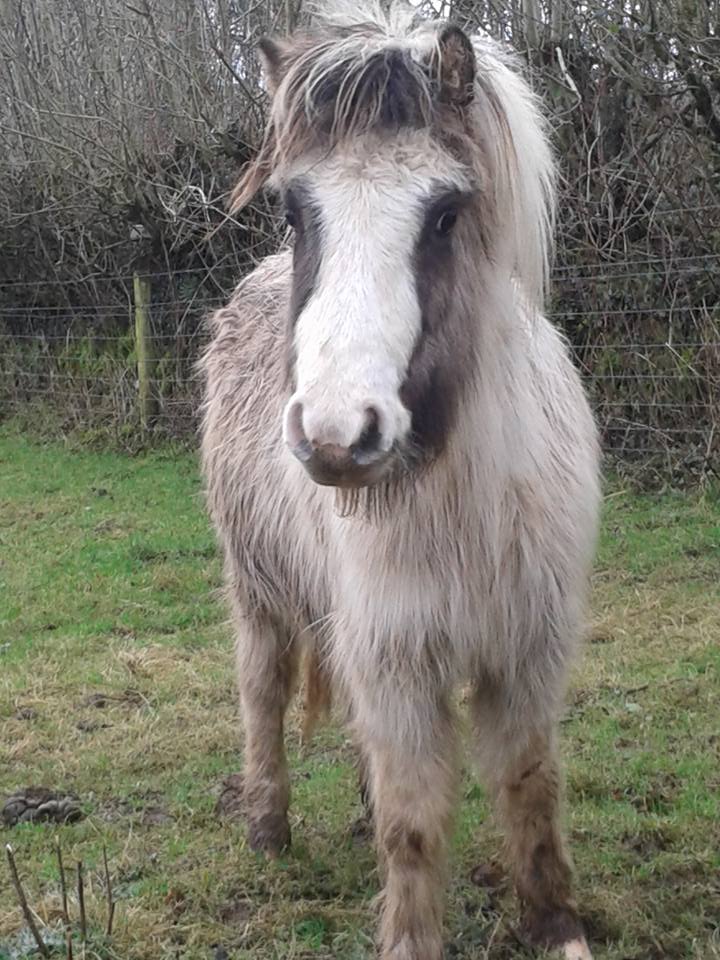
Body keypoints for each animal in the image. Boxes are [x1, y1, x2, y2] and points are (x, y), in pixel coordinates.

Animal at [200, 4, 600, 958]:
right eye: (295, 211)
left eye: (445, 213)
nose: (338, 434)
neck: (462, 505)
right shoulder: (396, 658)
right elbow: (413, 825)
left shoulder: (525, 652)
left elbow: (530, 785)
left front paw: (557, 926)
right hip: (258, 590)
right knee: (263, 694)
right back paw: (268, 830)